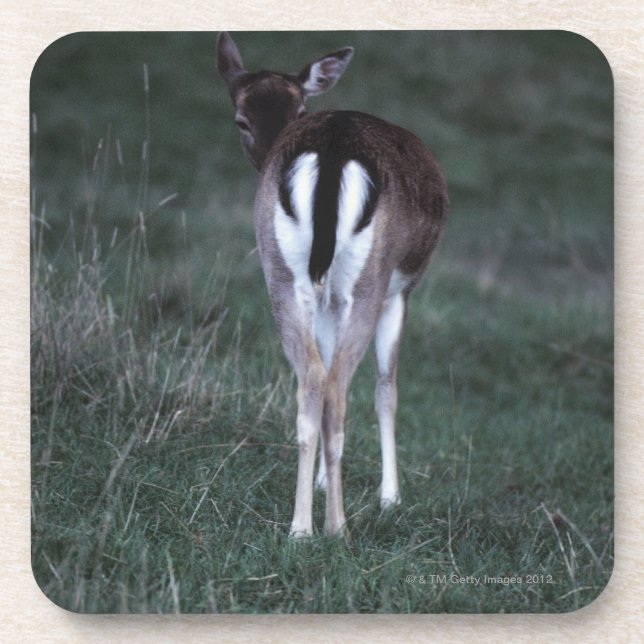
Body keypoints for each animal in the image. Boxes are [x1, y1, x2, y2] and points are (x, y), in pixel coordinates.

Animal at [217, 32, 448, 538]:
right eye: (241, 119)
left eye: (298, 107)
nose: (265, 152)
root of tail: (331, 153)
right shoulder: (400, 292)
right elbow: (386, 389)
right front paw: (391, 497)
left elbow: (320, 375)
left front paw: (323, 483)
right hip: (368, 280)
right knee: (339, 388)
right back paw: (337, 527)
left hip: (283, 274)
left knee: (311, 383)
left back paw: (300, 528)